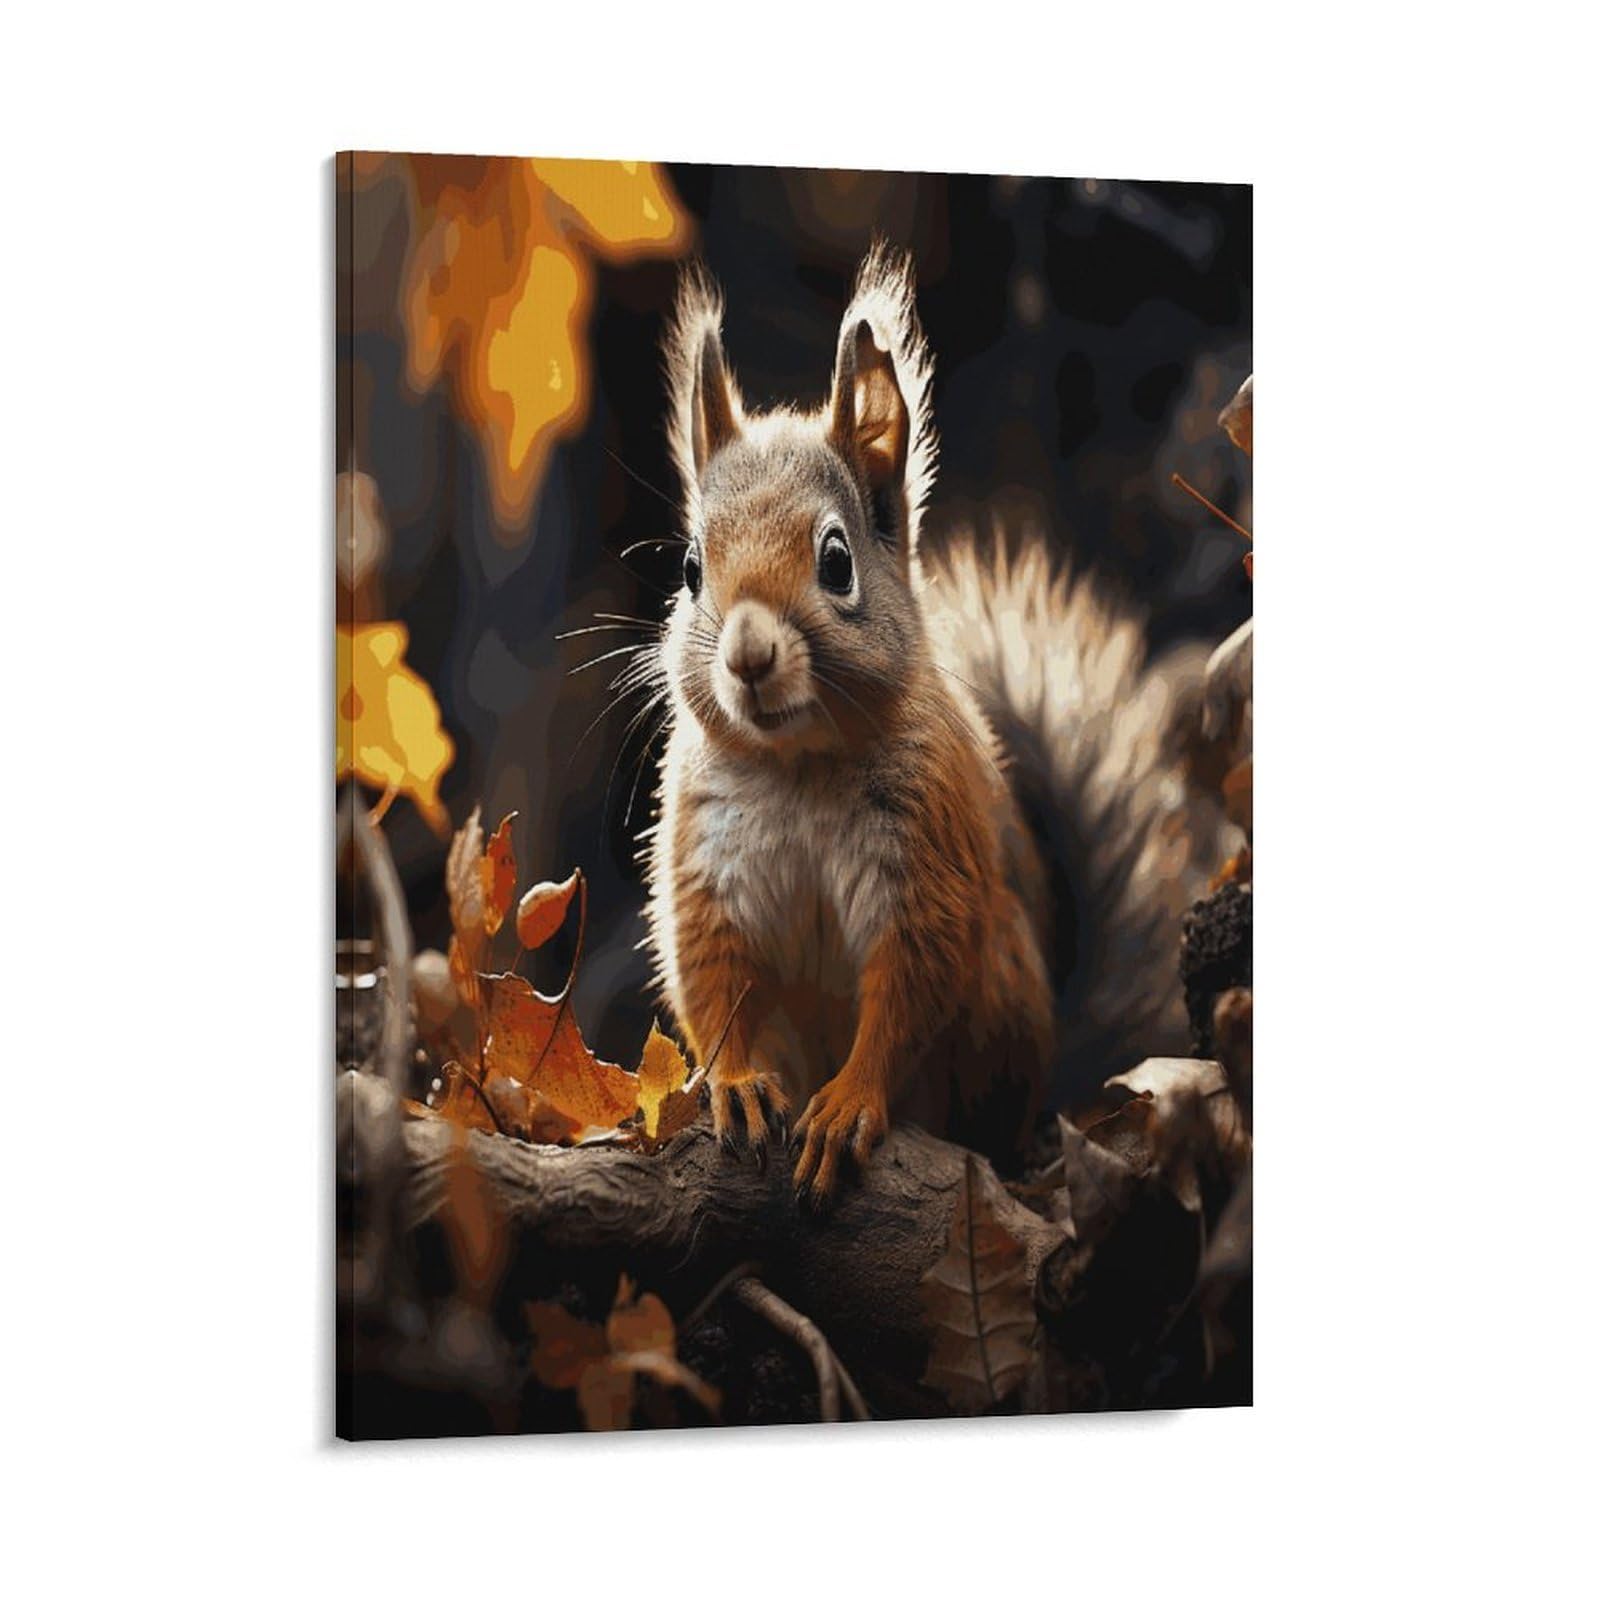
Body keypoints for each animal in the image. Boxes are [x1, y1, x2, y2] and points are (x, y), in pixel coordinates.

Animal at [640, 242, 1226, 1204]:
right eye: (691, 568)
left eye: (836, 561)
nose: (748, 656)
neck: (799, 766)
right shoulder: (709, 863)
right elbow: (715, 982)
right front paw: (737, 1085)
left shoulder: (925, 858)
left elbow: (910, 987)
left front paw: (848, 1104)